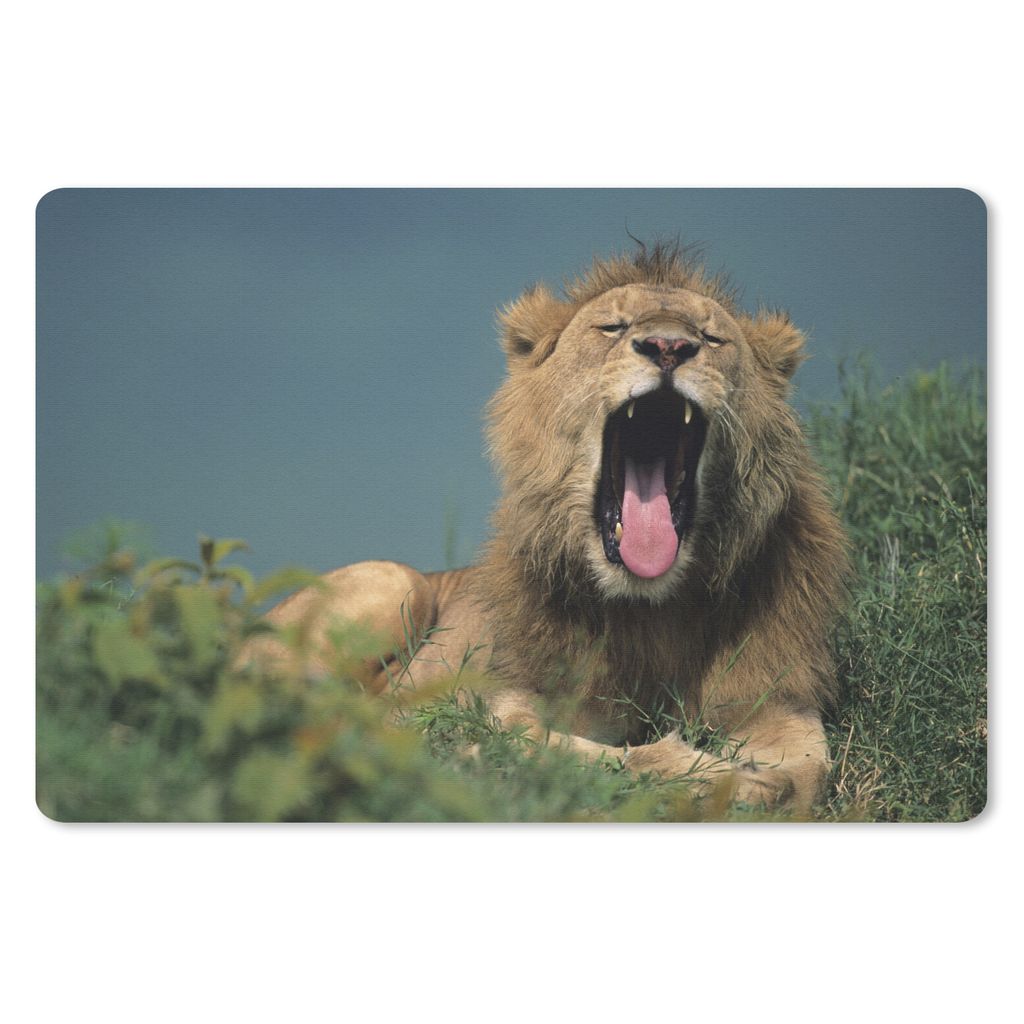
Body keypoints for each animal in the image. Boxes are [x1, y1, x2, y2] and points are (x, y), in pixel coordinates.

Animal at [250, 243, 849, 814]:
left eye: (711, 336)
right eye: (612, 327)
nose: (668, 347)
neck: (651, 608)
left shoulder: (778, 701)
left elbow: (810, 771)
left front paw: (758, 782)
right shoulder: (508, 700)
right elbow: (570, 751)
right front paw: (723, 778)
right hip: (395, 581)